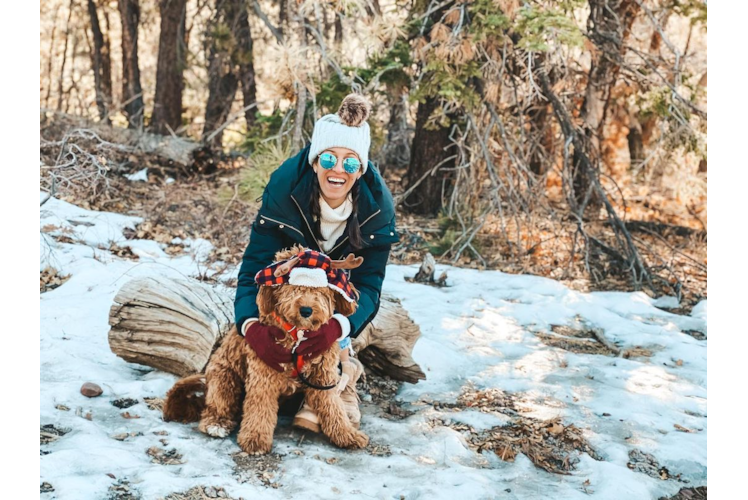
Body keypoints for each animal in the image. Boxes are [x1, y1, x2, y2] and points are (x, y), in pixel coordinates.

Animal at [163, 244, 368, 456]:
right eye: (292, 288)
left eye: (320, 291)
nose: (306, 310)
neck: (297, 336)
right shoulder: (264, 376)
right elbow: (260, 409)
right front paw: (255, 439)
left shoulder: (323, 377)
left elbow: (334, 408)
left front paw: (347, 435)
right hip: (224, 379)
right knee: (217, 406)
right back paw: (217, 423)